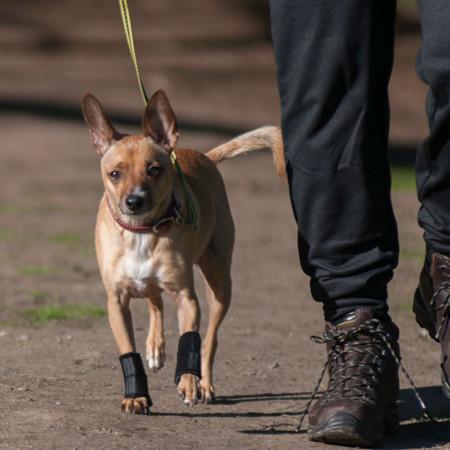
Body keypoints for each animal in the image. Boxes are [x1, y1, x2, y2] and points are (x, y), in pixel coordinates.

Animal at [81, 89, 284, 414]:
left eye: (154, 170)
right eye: (114, 174)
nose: (134, 201)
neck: (142, 232)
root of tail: (204, 156)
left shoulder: (187, 299)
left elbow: (190, 340)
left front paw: (188, 382)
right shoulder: (117, 302)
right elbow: (128, 350)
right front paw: (135, 396)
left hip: (219, 283)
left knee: (209, 340)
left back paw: (204, 384)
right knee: (155, 301)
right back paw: (155, 347)